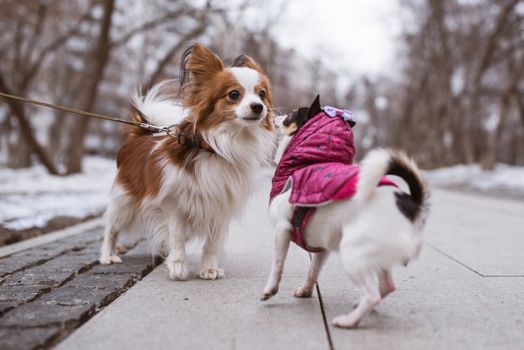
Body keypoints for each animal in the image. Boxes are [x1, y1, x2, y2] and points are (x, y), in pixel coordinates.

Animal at [100, 44, 276, 282]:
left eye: (262, 94)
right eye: (234, 94)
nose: (258, 107)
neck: (218, 147)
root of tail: (141, 134)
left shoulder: (220, 207)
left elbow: (212, 243)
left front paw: (209, 269)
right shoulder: (175, 204)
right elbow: (177, 236)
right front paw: (177, 267)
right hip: (125, 202)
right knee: (111, 227)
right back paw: (108, 255)